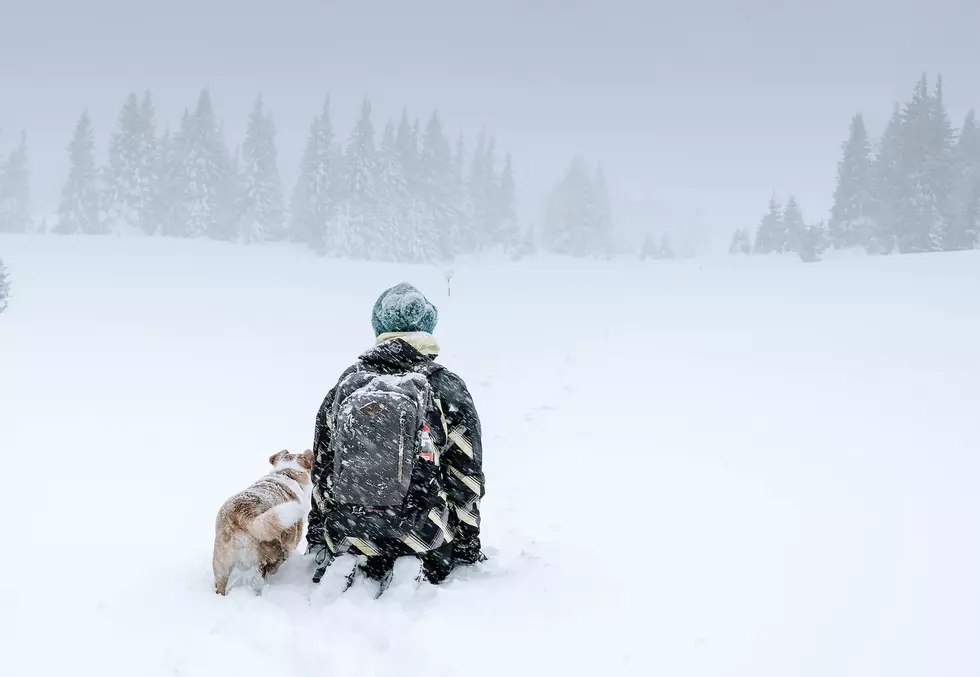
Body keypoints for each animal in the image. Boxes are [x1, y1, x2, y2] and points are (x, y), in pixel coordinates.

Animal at [213, 448, 314, 596]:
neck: (287, 473)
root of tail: (243, 513)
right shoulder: (290, 544)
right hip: (266, 555)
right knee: (264, 573)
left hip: (221, 564)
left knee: (220, 586)